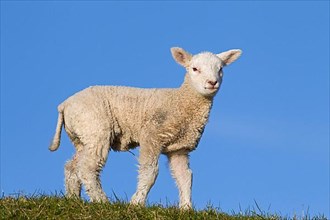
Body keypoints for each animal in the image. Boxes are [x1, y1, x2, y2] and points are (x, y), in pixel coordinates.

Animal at [49, 47, 241, 209]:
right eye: (194, 69)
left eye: (220, 69)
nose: (212, 82)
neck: (180, 101)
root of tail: (64, 105)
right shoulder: (152, 136)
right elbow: (150, 172)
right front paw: (137, 202)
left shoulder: (179, 149)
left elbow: (186, 177)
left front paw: (186, 208)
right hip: (96, 128)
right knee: (88, 168)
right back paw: (101, 201)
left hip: (83, 136)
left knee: (72, 166)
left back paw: (73, 199)